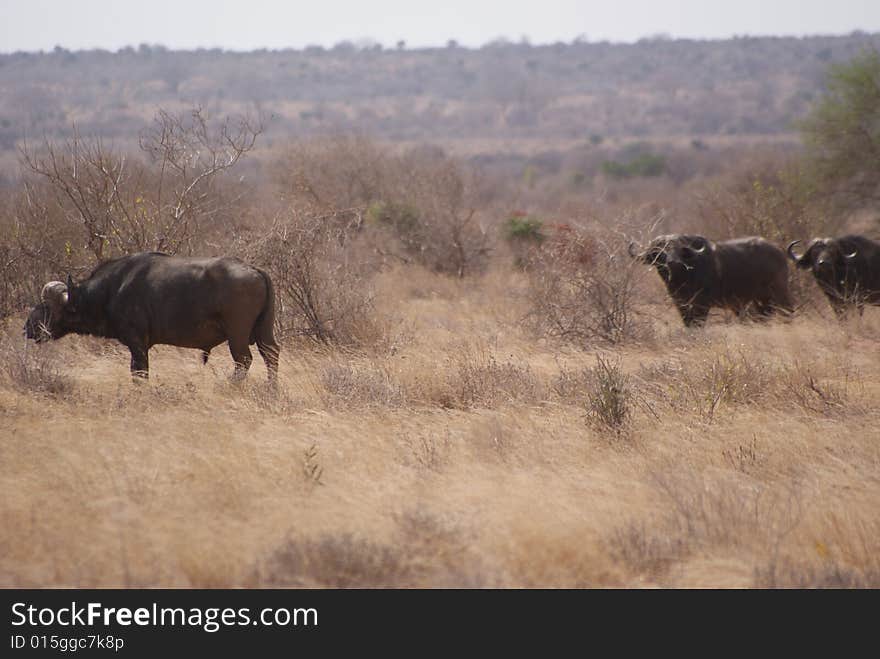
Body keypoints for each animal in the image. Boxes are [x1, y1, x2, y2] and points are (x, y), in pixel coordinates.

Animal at [628, 235, 796, 328]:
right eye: (661, 251)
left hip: (780, 291)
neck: (683, 279)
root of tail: (779, 250)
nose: (673, 262)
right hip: (760, 299)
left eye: (680, 249)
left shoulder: (702, 303)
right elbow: (687, 322)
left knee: (788, 311)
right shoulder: (680, 303)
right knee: (764, 315)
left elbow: (698, 322)